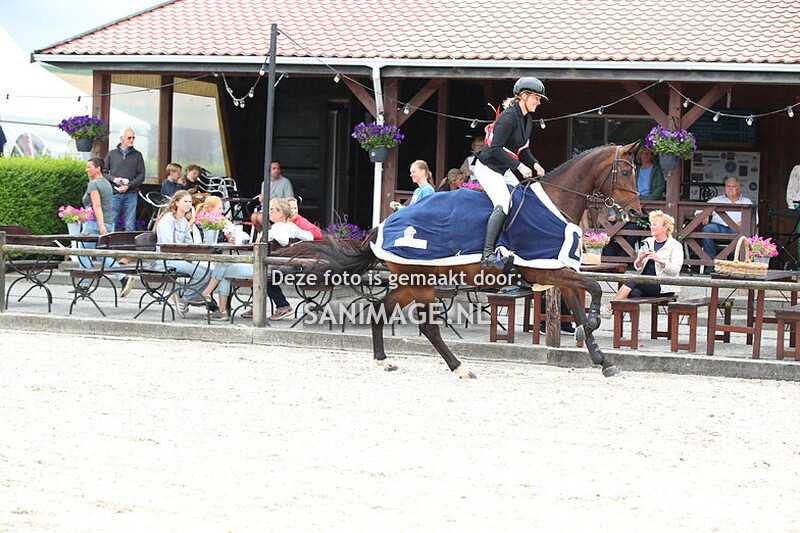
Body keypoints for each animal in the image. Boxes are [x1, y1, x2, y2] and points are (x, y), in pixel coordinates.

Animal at [290, 141, 643, 378]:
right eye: (626, 171)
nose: (635, 212)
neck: (555, 203)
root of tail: (382, 227)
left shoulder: (559, 272)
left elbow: (582, 306)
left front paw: (603, 360)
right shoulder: (547, 272)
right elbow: (594, 288)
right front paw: (595, 328)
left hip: (410, 281)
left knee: (381, 310)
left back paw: (384, 359)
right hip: (422, 282)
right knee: (428, 327)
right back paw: (460, 367)